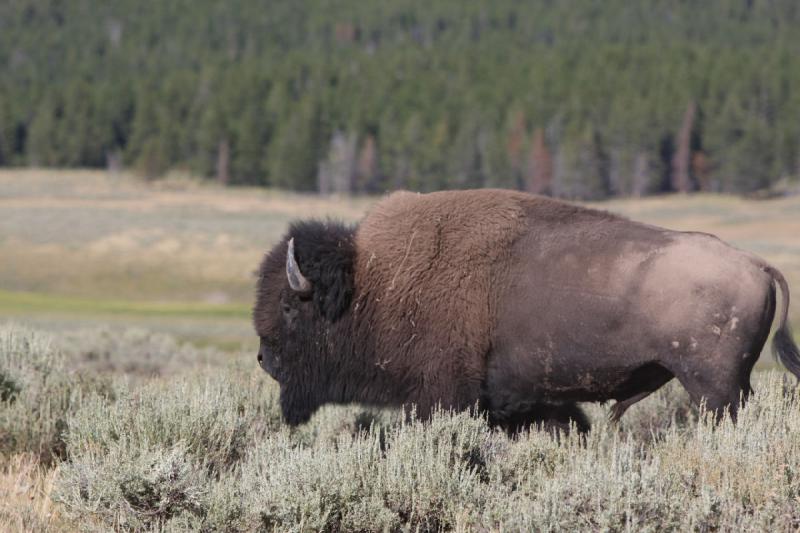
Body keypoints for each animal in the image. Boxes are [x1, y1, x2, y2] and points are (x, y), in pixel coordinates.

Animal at [255, 188, 800, 432]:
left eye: (288, 305)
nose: (263, 358)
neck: (372, 285)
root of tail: (755, 263)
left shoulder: (442, 396)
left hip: (713, 387)